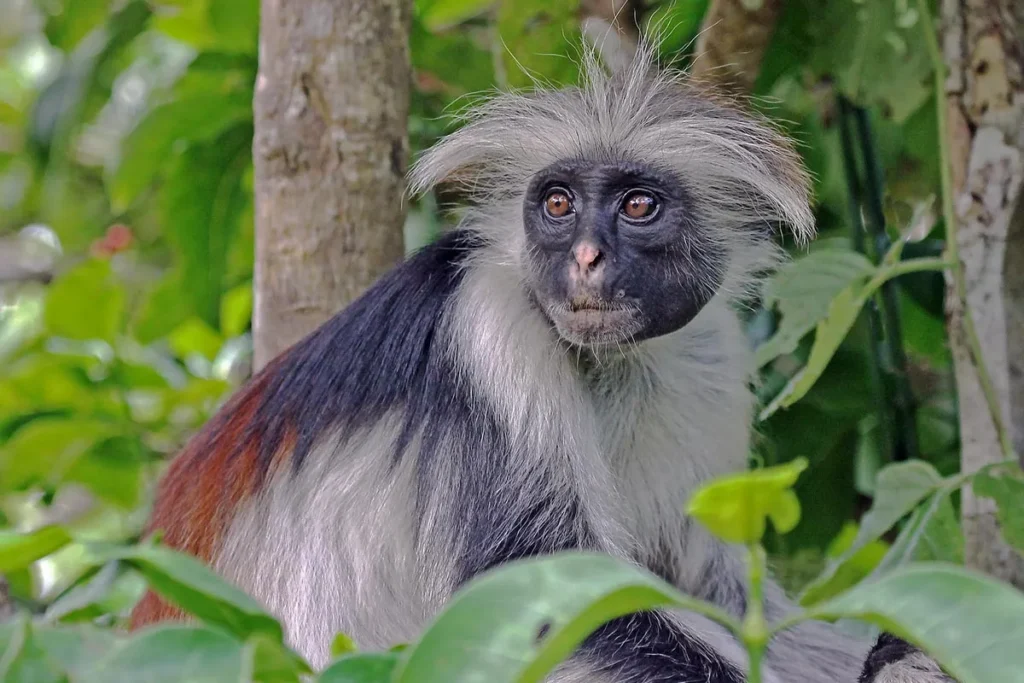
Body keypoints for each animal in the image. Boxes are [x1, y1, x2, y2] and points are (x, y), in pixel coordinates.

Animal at [129, 42, 954, 683]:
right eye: (558, 205)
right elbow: (543, 601)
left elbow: (719, 590)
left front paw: (910, 646)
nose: (585, 257)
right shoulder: (492, 326)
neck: (606, 361)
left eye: (637, 207)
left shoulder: (712, 351)